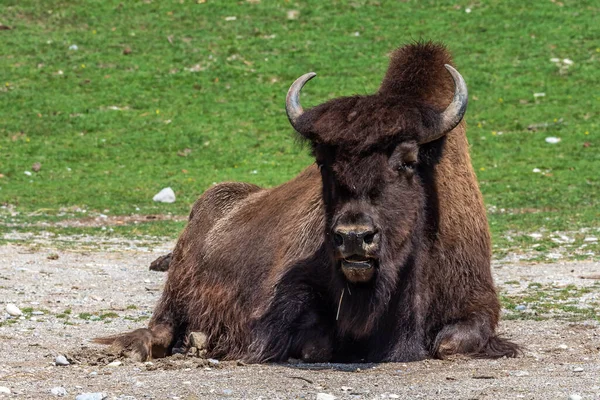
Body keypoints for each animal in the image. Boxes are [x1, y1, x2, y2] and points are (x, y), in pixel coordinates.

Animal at [96, 43, 516, 362]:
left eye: (408, 161)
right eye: (323, 161)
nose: (353, 237)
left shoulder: (478, 302)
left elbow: (448, 344)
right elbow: (315, 343)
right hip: (175, 291)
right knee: (159, 330)